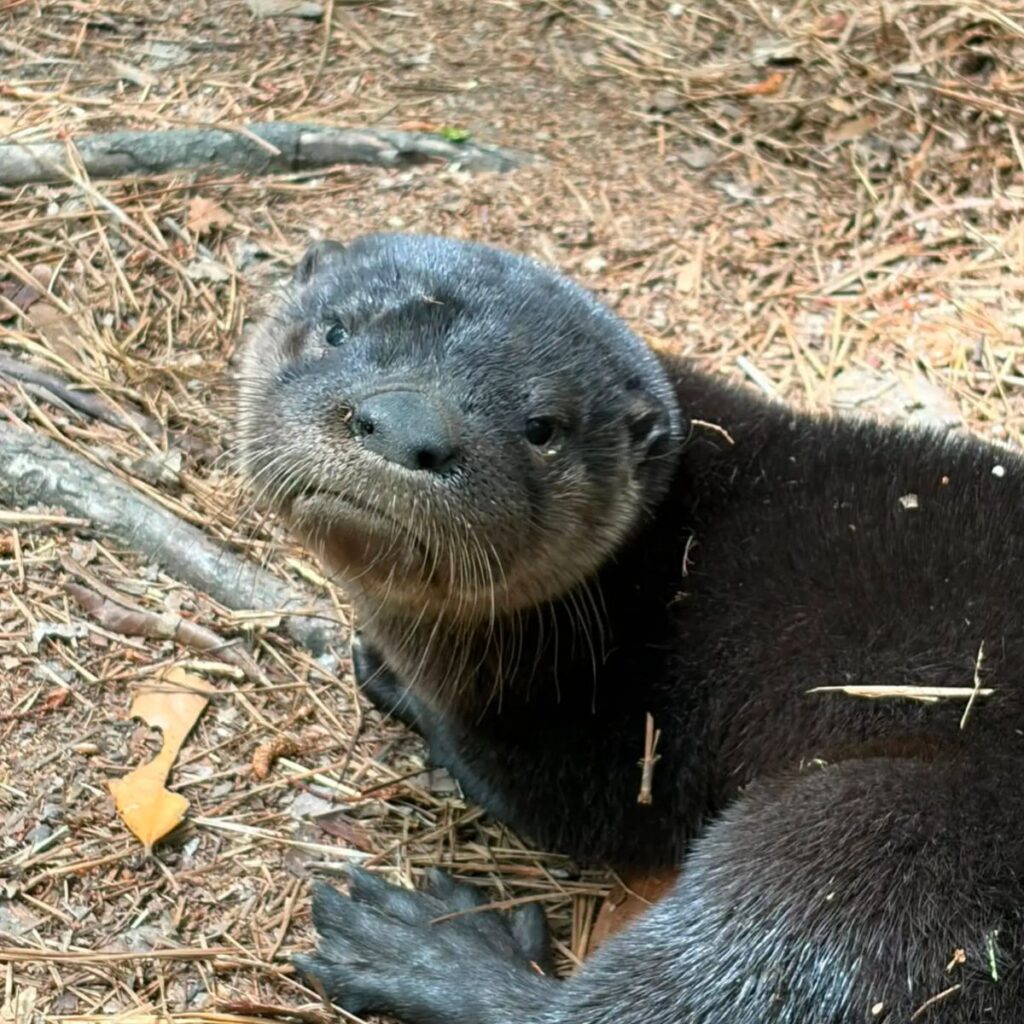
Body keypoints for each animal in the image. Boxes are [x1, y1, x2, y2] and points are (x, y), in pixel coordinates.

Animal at [237, 233, 1024, 1023]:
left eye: (542, 429)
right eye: (337, 331)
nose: (406, 422)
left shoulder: (625, 737)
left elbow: (555, 802)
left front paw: (393, 680)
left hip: (869, 837)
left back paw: (416, 943)